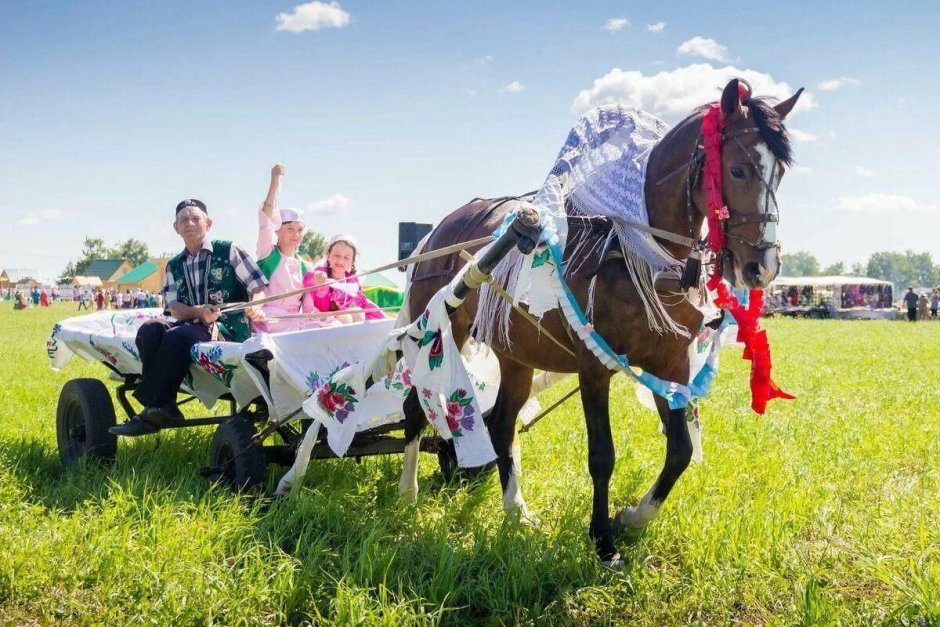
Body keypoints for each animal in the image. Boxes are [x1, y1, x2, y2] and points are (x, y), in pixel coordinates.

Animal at [396, 79, 800, 568]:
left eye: (780, 174)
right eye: (738, 170)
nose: (763, 266)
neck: (638, 254)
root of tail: (438, 231)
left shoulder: (670, 364)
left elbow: (680, 450)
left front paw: (633, 518)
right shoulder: (594, 366)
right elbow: (602, 455)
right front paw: (603, 540)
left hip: (517, 356)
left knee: (501, 425)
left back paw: (516, 510)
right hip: (440, 329)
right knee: (416, 408)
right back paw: (408, 493)